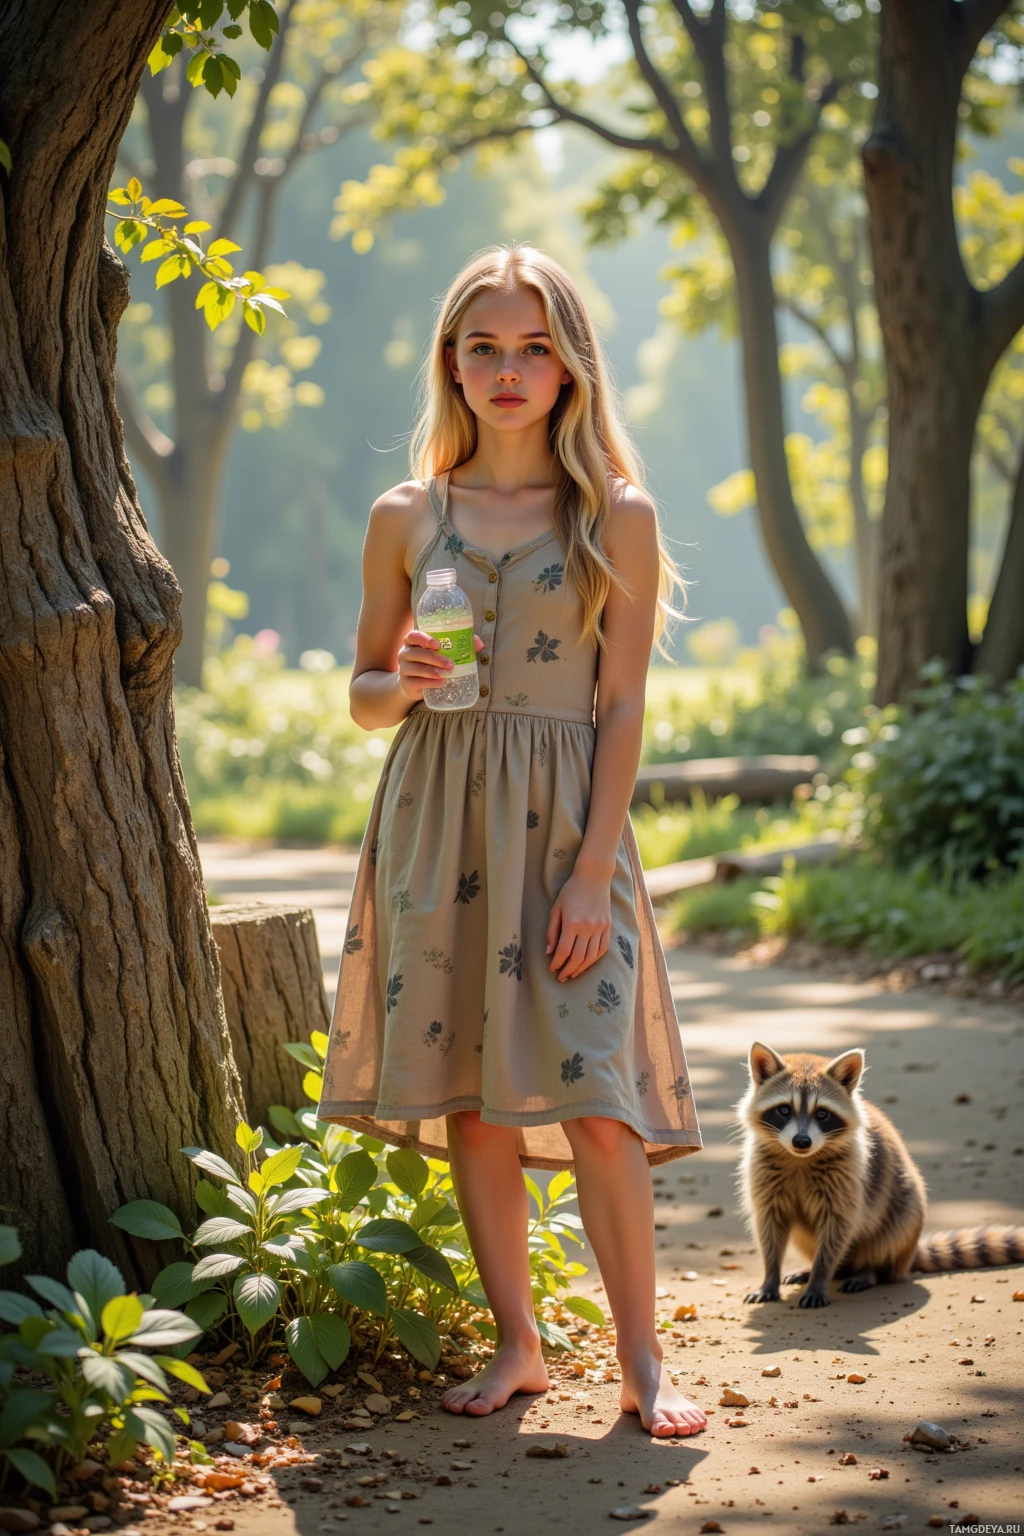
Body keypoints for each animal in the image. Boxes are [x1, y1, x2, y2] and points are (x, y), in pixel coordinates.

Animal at [738, 1041, 1023, 1308]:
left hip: (904, 1214)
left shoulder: (850, 1176)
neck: (799, 1159)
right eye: (784, 1110)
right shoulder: (763, 1172)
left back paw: (869, 1272)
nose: (802, 1141)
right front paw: (770, 1276)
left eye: (822, 1113)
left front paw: (819, 1277)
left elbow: (837, 1228)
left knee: (887, 1237)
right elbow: (769, 1225)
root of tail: (907, 1256)